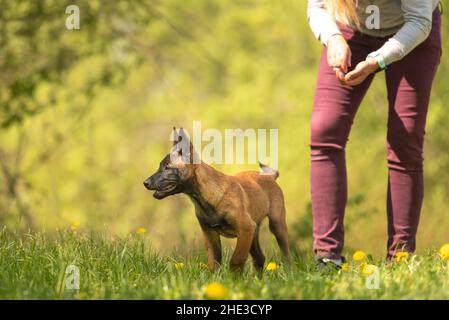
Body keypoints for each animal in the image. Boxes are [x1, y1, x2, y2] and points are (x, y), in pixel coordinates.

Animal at [144, 126, 290, 272]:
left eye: (167, 167)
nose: (145, 183)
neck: (205, 198)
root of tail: (270, 176)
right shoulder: (211, 235)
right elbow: (214, 263)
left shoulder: (246, 228)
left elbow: (236, 259)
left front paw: (234, 277)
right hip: (254, 233)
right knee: (259, 258)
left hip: (276, 225)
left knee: (287, 255)